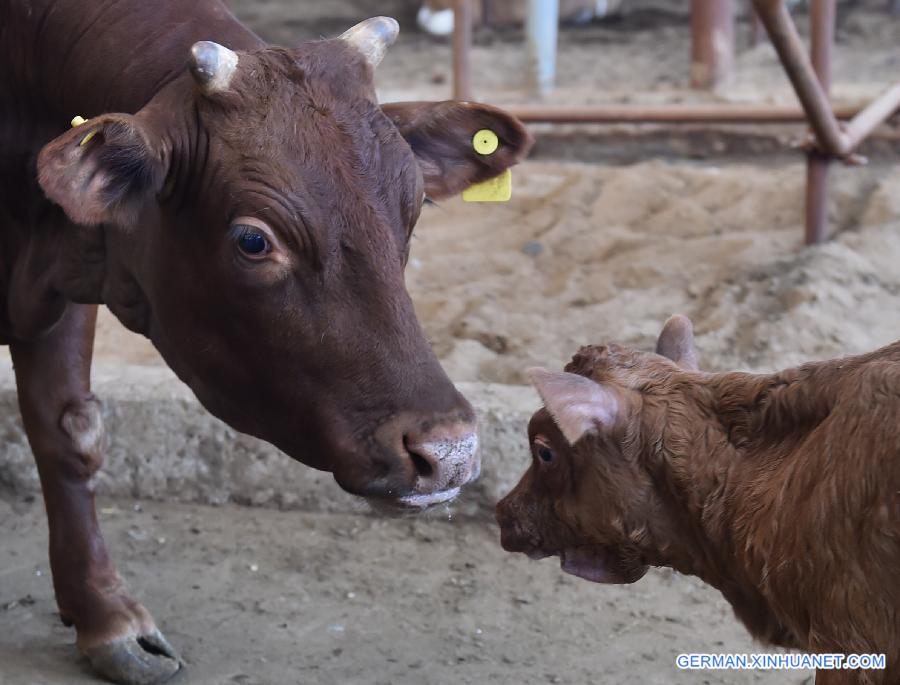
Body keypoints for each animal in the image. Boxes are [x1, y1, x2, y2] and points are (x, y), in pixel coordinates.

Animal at [0, 2, 532, 680]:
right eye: (254, 240)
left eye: (412, 211)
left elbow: (70, 434)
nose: (451, 452)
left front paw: (104, 617)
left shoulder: (64, 286)